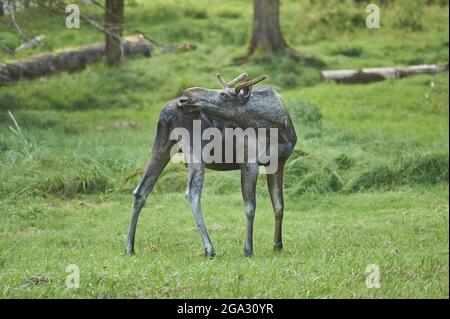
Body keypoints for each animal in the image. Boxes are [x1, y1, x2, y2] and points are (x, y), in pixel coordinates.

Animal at [125, 74, 298, 258]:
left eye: (224, 95)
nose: (185, 97)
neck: (278, 126)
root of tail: (165, 113)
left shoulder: (279, 162)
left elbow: (279, 206)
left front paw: (278, 245)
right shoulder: (248, 160)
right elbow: (250, 207)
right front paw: (248, 249)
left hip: (162, 145)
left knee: (141, 191)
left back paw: (129, 247)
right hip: (194, 150)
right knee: (192, 193)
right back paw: (209, 249)